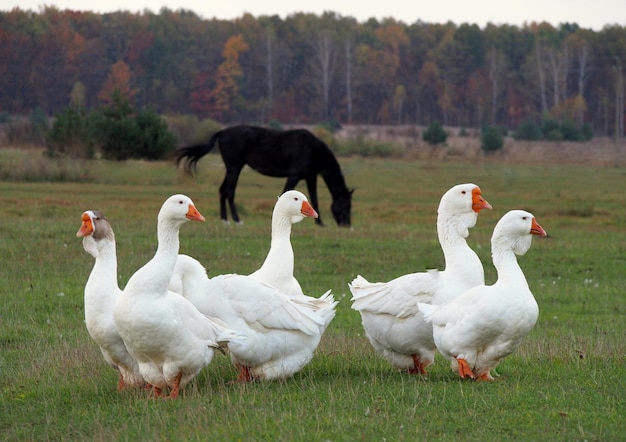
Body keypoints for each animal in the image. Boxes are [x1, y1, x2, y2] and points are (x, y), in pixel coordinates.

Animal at [174, 126, 352, 226]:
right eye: (346, 205)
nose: (347, 224)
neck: (313, 149)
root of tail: (222, 132)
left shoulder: (310, 176)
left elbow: (314, 197)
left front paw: (319, 222)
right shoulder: (295, 175)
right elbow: (288, 191)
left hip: (232, 169)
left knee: (223, 190)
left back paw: (226, 219)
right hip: (234, 168)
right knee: (229, 191)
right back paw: (236, 220)